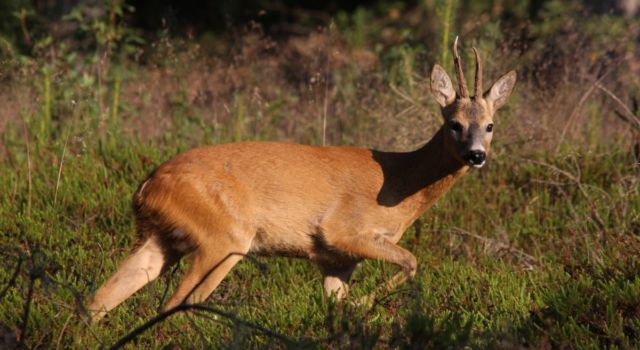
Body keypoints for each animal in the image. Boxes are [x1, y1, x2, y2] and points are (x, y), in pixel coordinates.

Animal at [87, 37, 516, 322]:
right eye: (454, 123)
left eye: (490, 125)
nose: (476, 155)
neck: (400, 183)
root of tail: (147, 186)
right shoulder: (343, 230)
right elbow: (412, 261)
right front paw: (364, 305)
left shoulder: (336, 260)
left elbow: (336, 301)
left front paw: (351, 311)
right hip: (224, 237)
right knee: (175, 303)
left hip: (161, 238)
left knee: (101, 299)